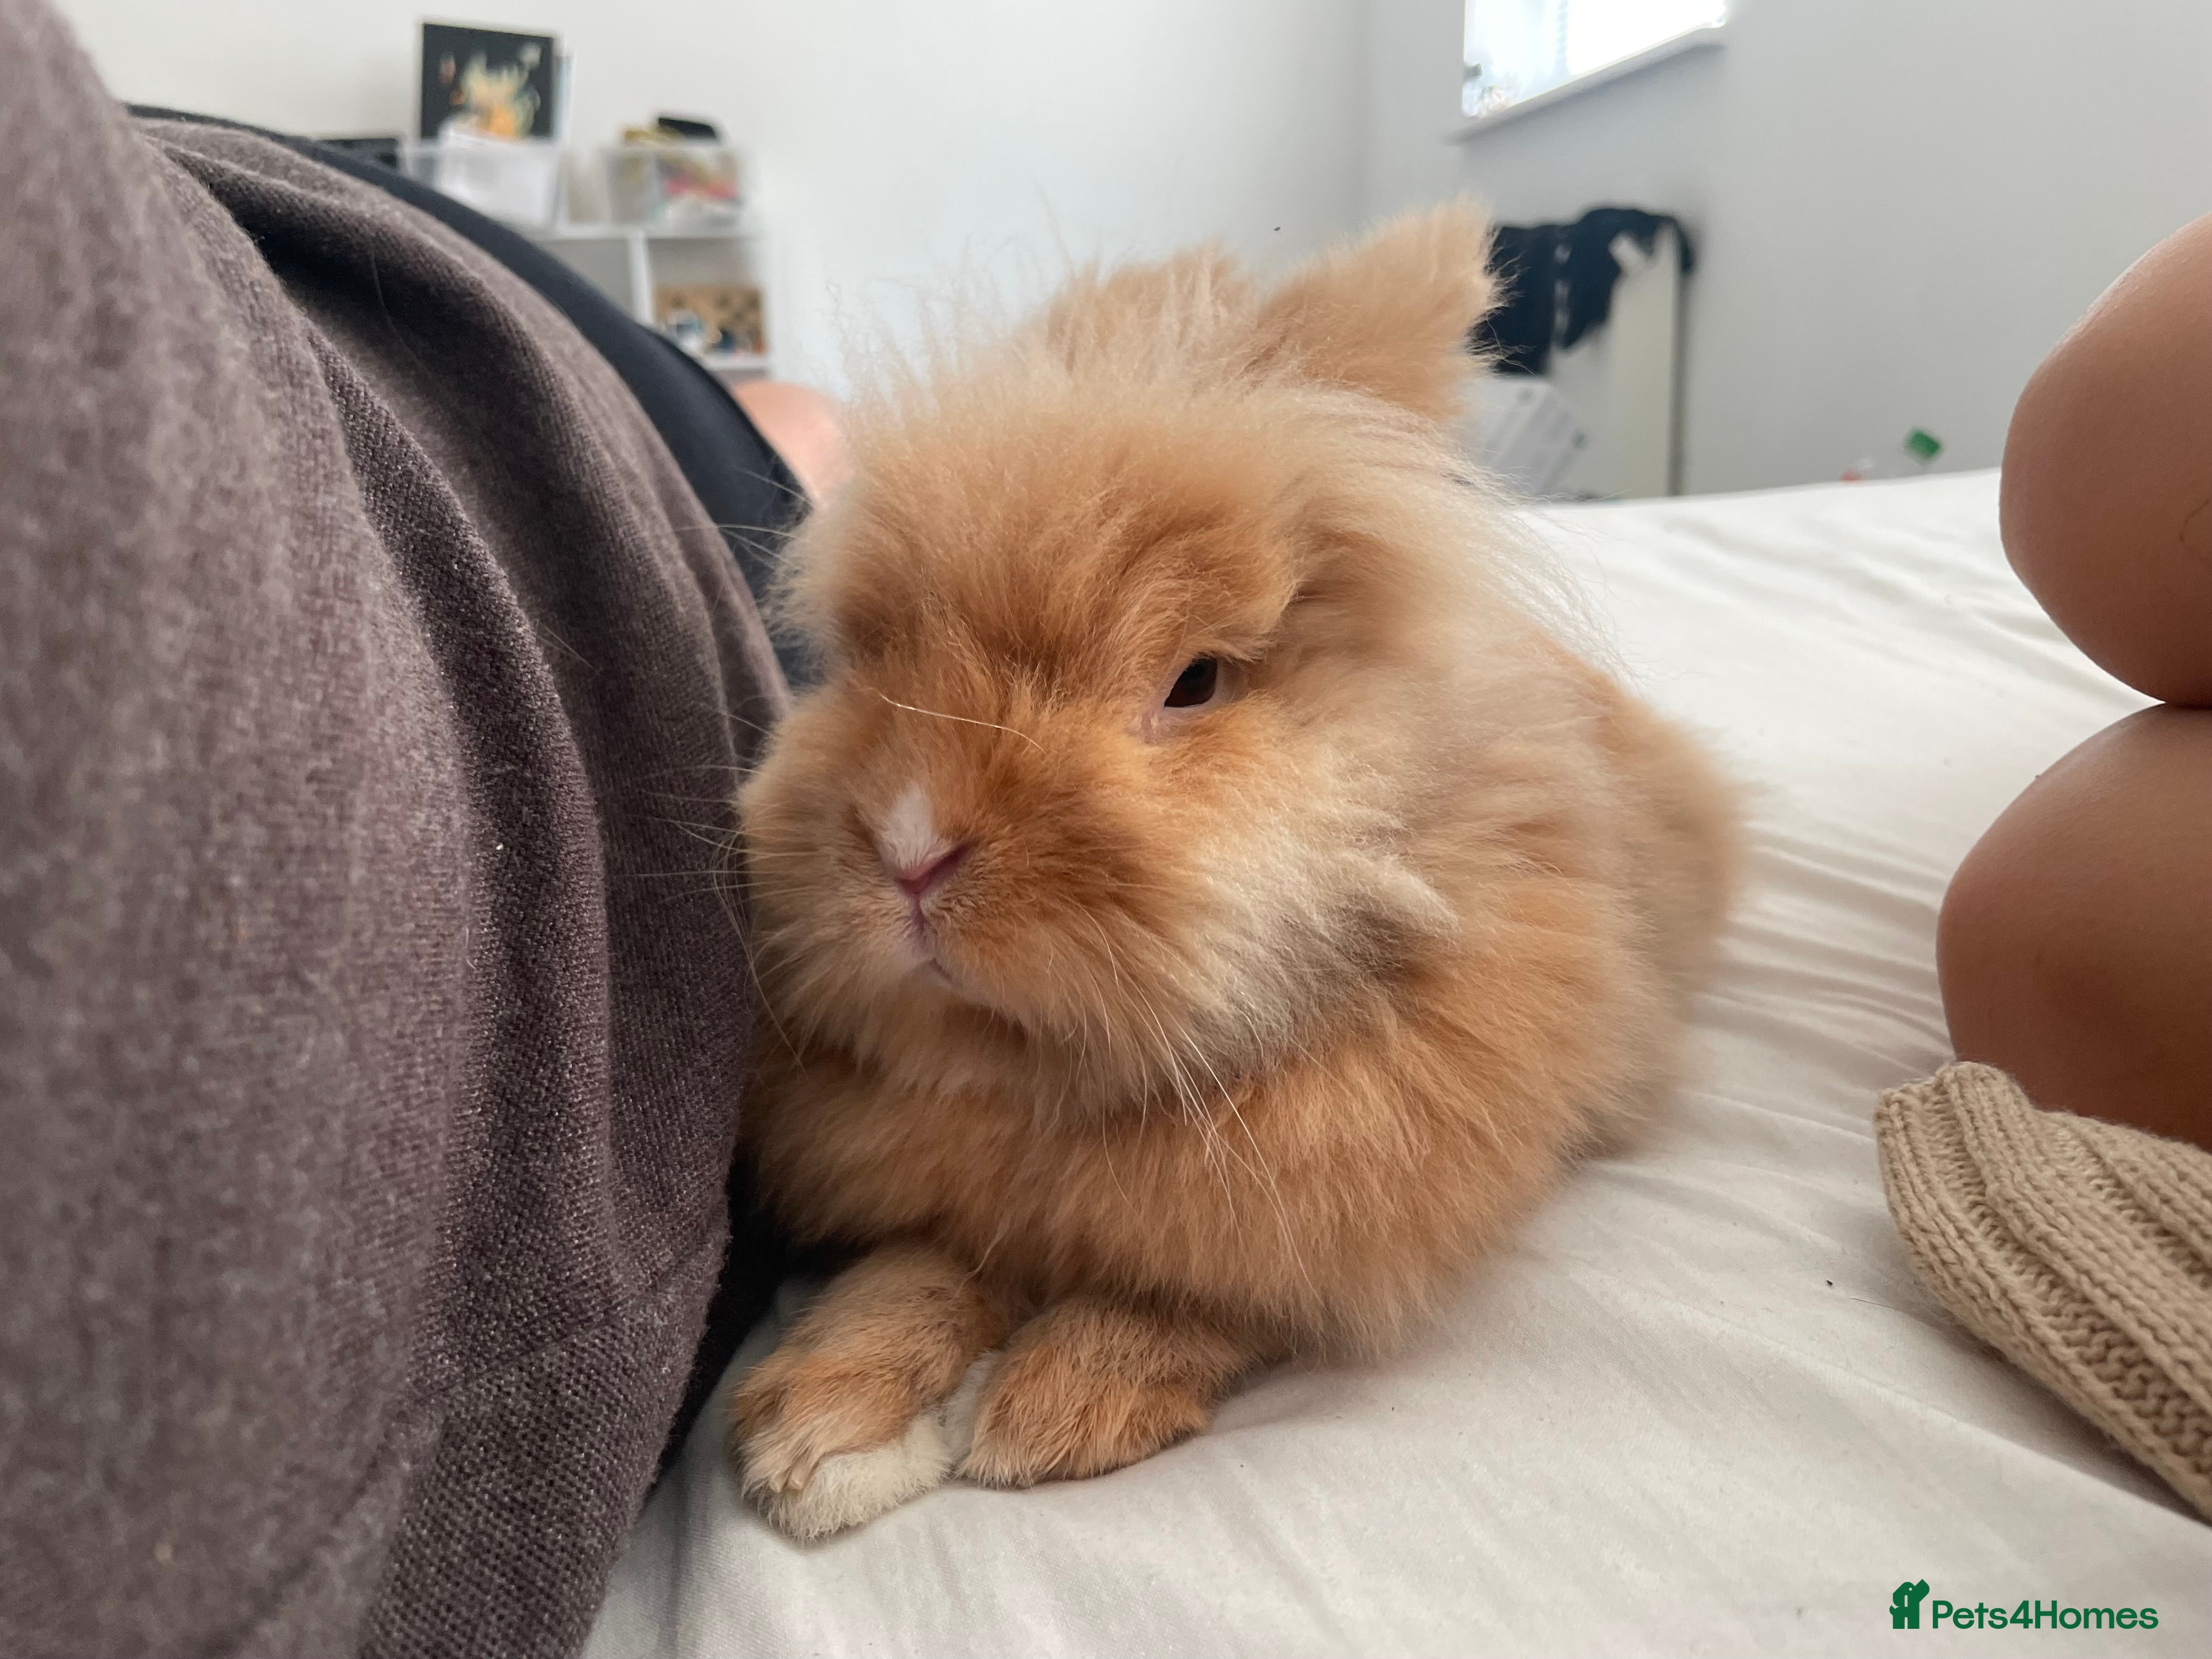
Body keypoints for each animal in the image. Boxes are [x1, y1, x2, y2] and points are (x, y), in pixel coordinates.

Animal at [727, 202, 1738, 1539]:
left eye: (1195, 680)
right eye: (861, 657)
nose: (908, 845)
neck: (1059, 1088)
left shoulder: (1333, 1205)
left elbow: (1212, 1292)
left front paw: (1057, 1411)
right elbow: (914, 1270)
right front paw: (822, 1429)